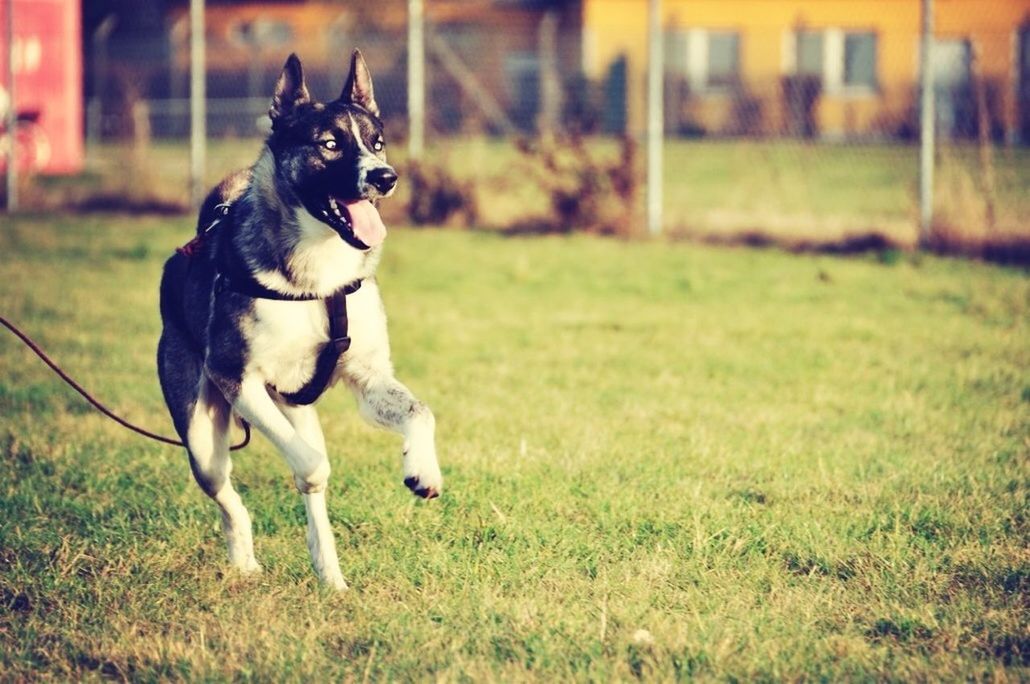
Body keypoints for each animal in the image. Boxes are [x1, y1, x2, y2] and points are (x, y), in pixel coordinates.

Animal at [157, 50, 442, 589]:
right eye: (329, 144)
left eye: (377, 142)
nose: (385, 177)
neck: (318, 271)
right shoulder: (237, 379)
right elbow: (312, 467)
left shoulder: (369, 378)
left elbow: (420, 412)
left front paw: (425, 471)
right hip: (204, 437)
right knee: (228, 493)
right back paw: (245, 562)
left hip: (295, 407)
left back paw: (329, 574)